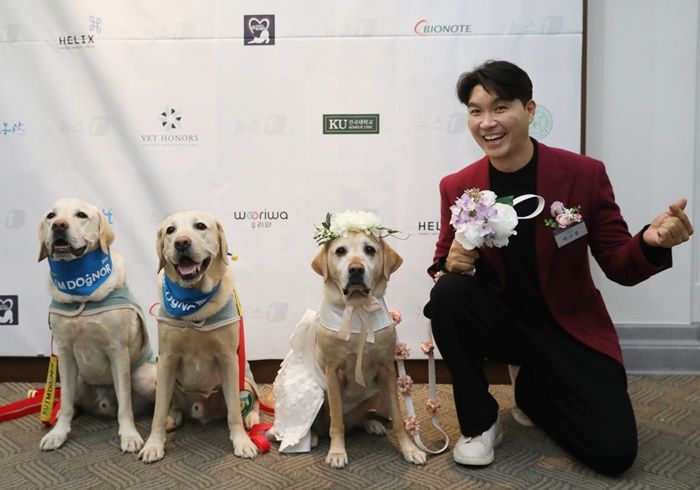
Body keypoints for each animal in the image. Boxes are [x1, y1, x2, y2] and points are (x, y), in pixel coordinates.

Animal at [36, 197, 156, 454]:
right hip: (78, 379)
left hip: (143, 377)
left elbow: (125, 405)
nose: (59, 226)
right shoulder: (64, 352)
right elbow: (67, 402)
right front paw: (58, 433)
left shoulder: (118, 351)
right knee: (70, 401)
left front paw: (129, 435)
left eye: (81, 215)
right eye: (51, 216)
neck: (81, 294)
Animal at [139, 212, 258, 464]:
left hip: (245, 377)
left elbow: (234, 411)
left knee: (249, 403)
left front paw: (242, 441)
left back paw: (251, 418)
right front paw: (154, 444)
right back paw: (173, 417)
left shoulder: (229, 359)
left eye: (200, 226)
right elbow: (157, 411)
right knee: (171, 405)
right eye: (170, 230)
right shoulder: (166, 359)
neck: (193, 304)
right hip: (161, 378)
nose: (181, 242)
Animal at [270, 220, 426, 468]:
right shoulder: (333, 373)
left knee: (359, 418)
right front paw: (337, 452)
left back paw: (371, 423)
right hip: (315, 393)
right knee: (325, 425)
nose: (355, 269)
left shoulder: (387, 371)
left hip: (377, 395)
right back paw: (312, 437)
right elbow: (337, 423)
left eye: (369, 250)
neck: (357, 310)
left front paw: (410, 449)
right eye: (340, 251)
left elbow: (399, 418)